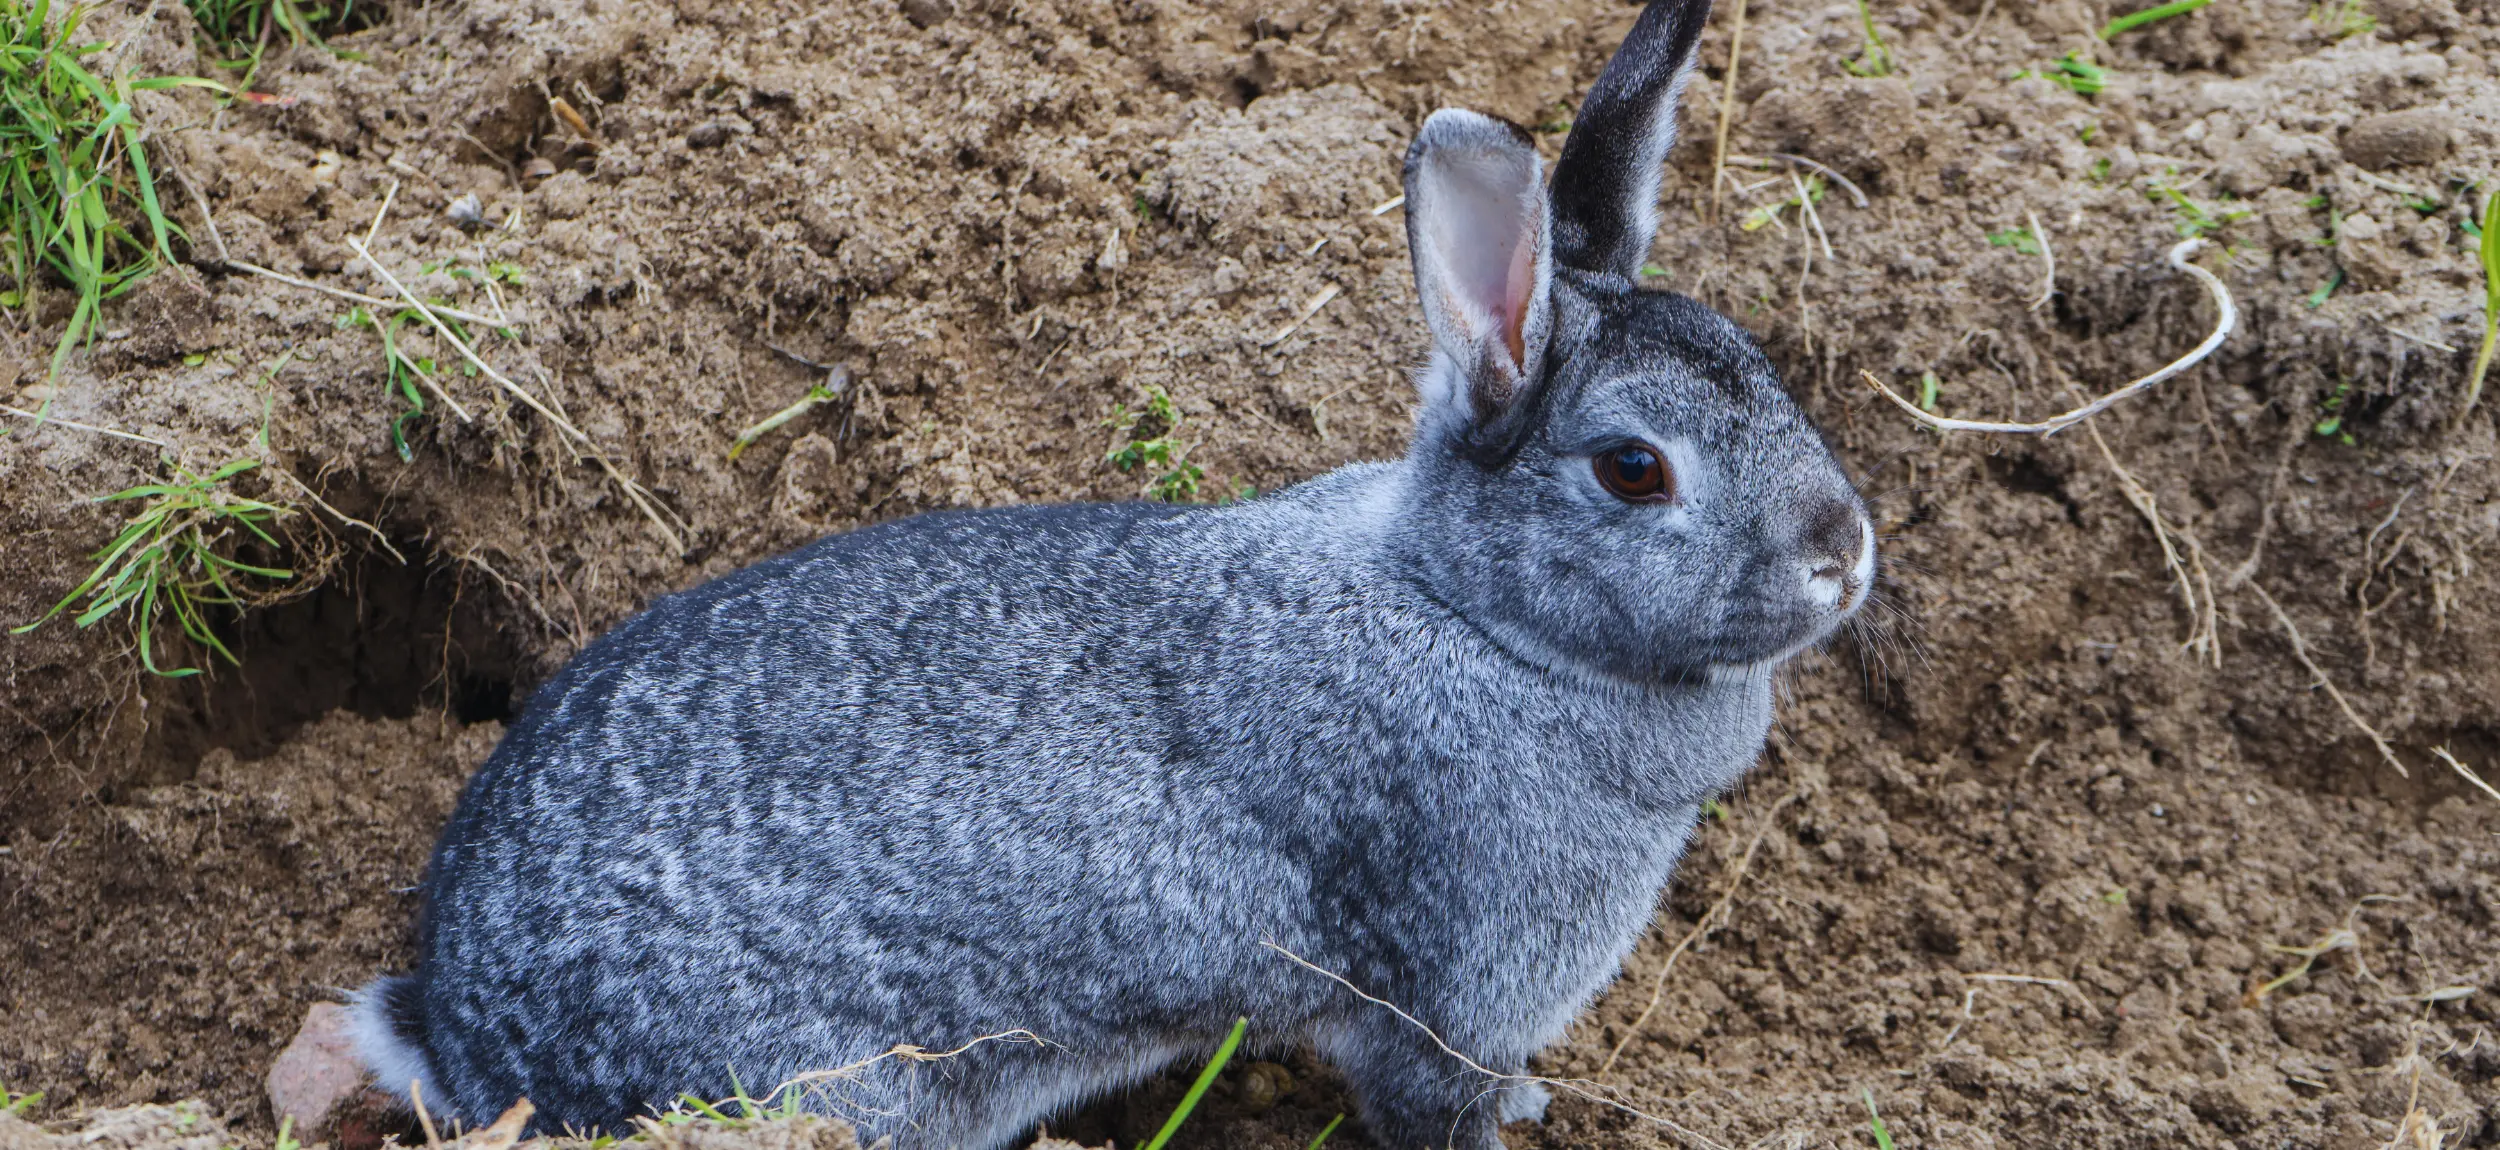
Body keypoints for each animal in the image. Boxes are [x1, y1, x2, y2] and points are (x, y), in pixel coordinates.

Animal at [352, 2, 1880, 1150]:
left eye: (1763, 367)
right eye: (1633, 469)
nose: (1843, 554)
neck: (1475, 610)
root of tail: (461, 1029)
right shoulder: (1433, 999)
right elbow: (1426, 1098)